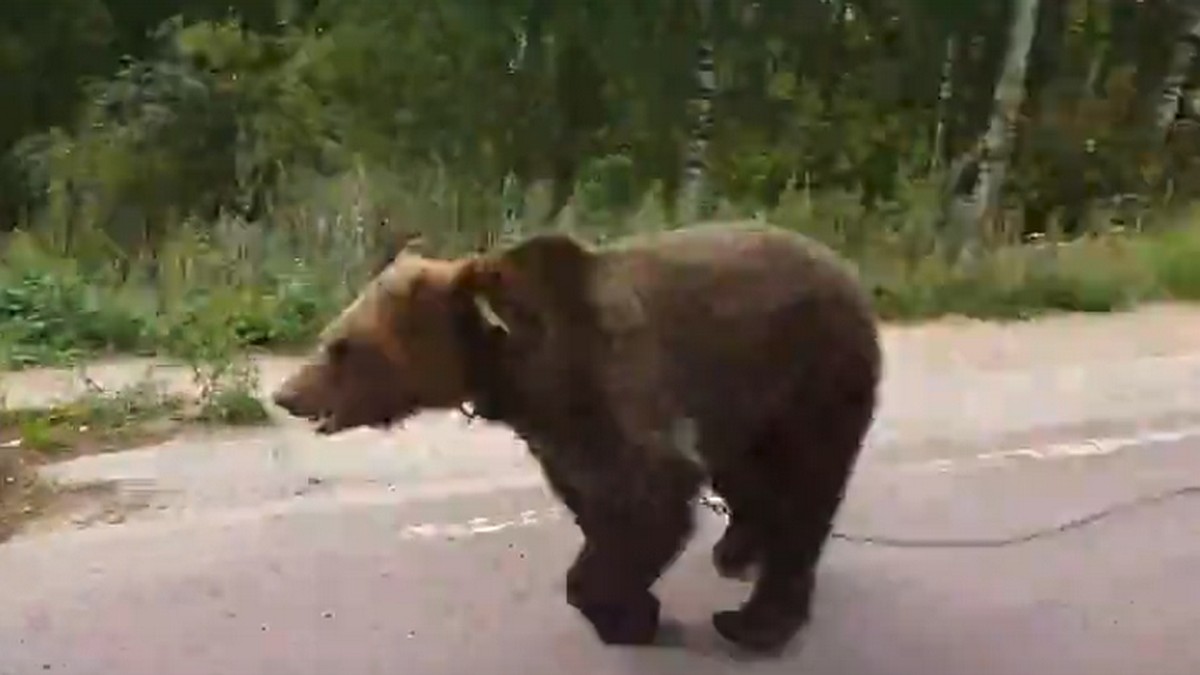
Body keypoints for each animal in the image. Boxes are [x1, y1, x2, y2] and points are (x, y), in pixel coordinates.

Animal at [276, 220, 888, 653]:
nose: (286, 394)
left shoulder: (614, 382)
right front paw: (629, 606)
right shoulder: (557, 428)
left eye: (341, 346)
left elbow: (650, 492)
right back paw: (736, 553)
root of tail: (847, 269)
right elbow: (594, 501)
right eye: (330, 335)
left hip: (815, 371)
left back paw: (752, 623)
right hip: (749, 400)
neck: (512, 370)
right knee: (750, 478)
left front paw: (627, 614)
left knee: (807, 488)